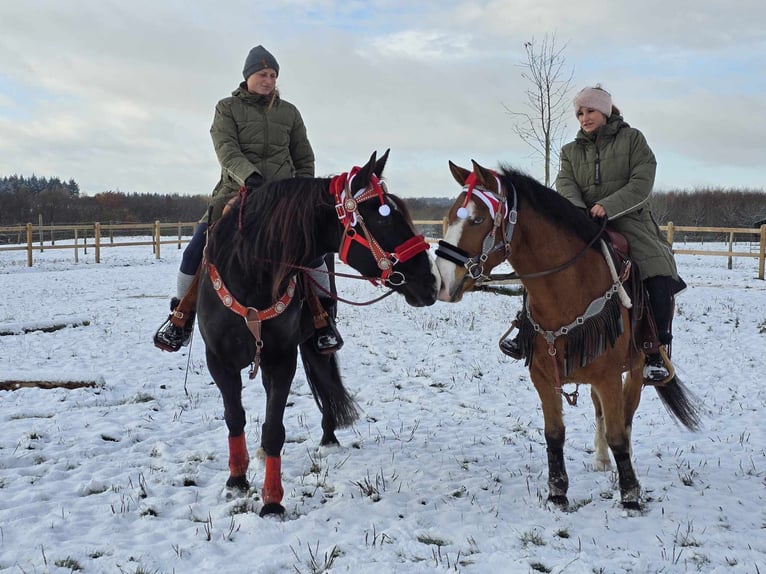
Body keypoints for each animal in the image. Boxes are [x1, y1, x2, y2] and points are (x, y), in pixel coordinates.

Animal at [195, 150, 440, 516]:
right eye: (384, 219)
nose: (431, 281)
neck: (250, 270)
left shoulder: (281, 359)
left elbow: (274, 429)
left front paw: (272, 502)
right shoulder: (219, 362)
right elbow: (234, 417)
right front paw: (237, 480)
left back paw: (328, 437)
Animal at [436, 162, 700, 512]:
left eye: (478, 219)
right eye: (451, 216)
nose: (443, 281)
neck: (567, 291)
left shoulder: (609, 376)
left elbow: (619, 433)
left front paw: (630, 494)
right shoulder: (544, 377)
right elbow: (554, 434)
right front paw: (557, 492)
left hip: (635, 370)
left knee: (626, 418)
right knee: (601, 413)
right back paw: (601, 458)